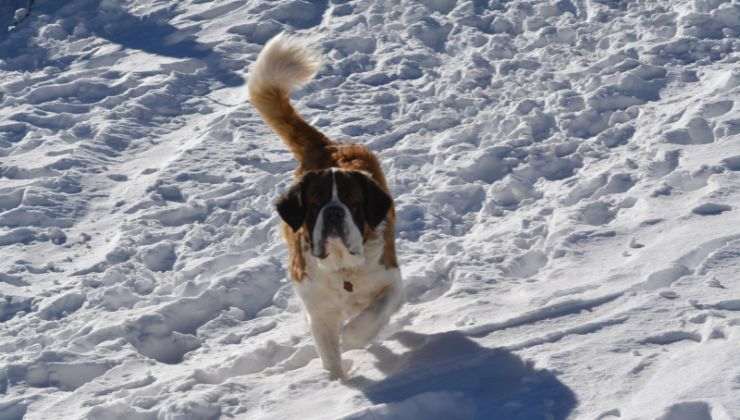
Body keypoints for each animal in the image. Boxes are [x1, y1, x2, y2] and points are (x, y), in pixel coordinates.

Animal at [249, 33, 402, 380]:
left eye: (351, 201)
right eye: (316, 203)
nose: (333, 211)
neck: (342, 267)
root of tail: (328, 148)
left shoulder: (390, 279)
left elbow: (373, 315)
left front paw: (354, 337)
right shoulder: (317, 307)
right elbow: (329, 351)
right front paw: (337, 382)